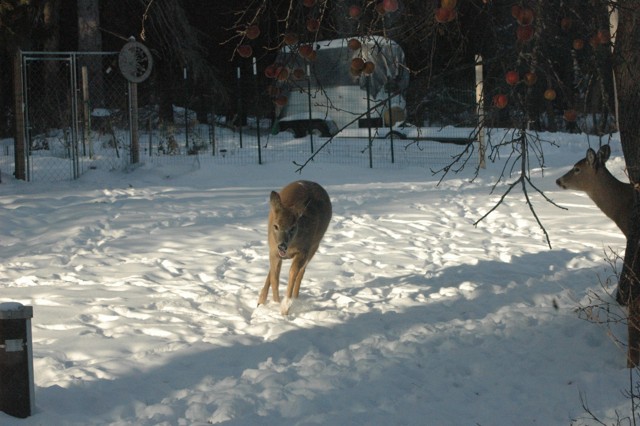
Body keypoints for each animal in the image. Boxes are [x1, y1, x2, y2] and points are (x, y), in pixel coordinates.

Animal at [258, 180, 332, 315]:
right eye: (275, 226)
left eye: (293, 227)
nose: (282, 245)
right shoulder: (273, 251)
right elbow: (275, 277)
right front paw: (276, 303)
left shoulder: (303, 251)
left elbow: (293, 272)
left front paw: (285, 307)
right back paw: (261, 300)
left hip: (314, 245)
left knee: (301, 272)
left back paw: (295, 298)